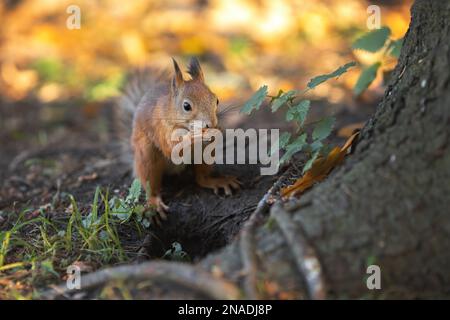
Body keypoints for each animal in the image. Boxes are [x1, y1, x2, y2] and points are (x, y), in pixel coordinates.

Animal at [118, 57, 241, 222]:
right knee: (151, 185)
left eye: (216, 100)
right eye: (186, 106)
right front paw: (195, 136)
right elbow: (171, 148)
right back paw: (153, 203)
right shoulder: (161, 128)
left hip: (203, 156)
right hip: (146, 156)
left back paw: (217, 181)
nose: (211, 124)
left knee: (201, 178)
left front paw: (218, 131)